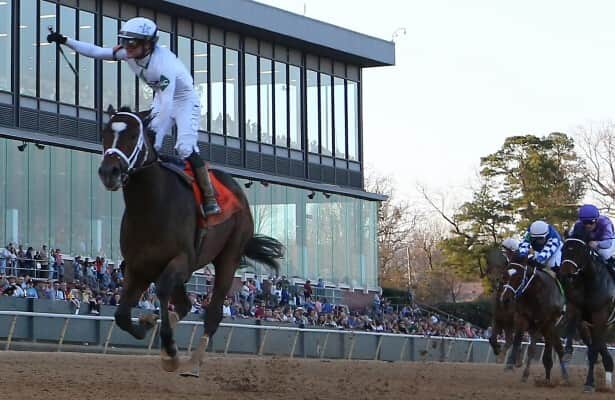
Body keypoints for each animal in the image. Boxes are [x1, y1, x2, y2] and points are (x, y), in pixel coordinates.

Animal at [97, 107, 286, 376]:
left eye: (133, 135)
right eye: (105, 132)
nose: (108, 172)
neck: (150, 206)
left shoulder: (182, 260)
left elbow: (162, 290)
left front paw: (170, 349)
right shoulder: (138, 266)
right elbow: (122, 316)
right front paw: (148, 324)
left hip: (229, 255)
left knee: (213, 312)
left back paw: (194, 361)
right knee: (185, 304)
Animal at [500, 256, 568, 384]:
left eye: (519, 277)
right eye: (504, 275)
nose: (505, 299)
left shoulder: (541, 323)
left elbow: (532, 349)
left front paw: (525, 374)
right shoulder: (522, 318)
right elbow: (517, 341)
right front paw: (510, 364)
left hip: (550, 327)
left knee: (557, 350)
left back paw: (562, 377)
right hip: (549, 329)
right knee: (557, 349)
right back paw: (552, 377)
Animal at [564, 238, 615, 390]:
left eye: (580, 251)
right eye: (564, 248)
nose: (566, 272)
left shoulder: (600, 316)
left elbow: (593, 351)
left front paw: (589, 383)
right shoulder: (576, 309)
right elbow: (571, 326)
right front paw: (567, 352)